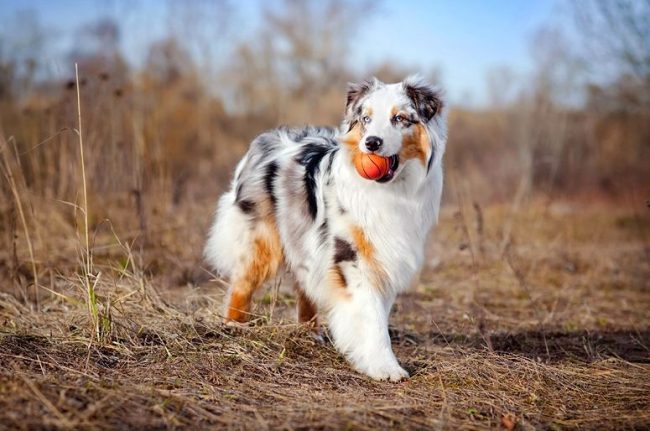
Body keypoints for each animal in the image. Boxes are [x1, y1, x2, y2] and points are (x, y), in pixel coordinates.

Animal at [204, 77, 446, 382]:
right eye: (366, 119)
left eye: (400, 118)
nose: (371, 143)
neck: (390, 191)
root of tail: (267, 138)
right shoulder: (351, 257)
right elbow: (371, 317)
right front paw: (385, 367)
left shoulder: (384, 257)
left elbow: (378, 312)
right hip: (263, 239)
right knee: (242, 282)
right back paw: (234, 325)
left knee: (303, 284)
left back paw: (310, 331)